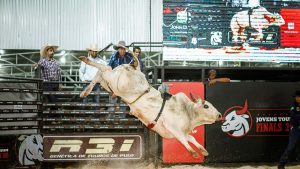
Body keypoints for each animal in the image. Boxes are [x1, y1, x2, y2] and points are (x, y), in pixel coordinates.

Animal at [78, 53, 221, 158]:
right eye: (206, 106)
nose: (220, 115)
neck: (187, 112)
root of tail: (135, 68)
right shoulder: (174, 129)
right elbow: (184, 139)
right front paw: (193, 153)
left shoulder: (176, 133)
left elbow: (191, 137)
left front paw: (203, 150)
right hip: (115, 81)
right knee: (104, 69)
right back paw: (85, 62)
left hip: (110, 84)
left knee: (100, 75)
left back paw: (85, 91)